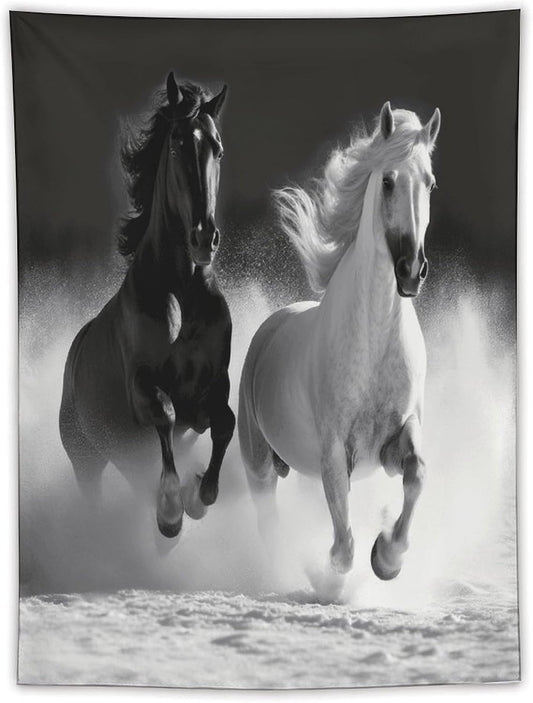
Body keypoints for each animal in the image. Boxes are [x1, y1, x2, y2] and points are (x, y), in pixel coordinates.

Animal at [59, 73, 235, 539]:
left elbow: (224, 423)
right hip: (86, 460)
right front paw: (171, 510)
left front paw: (201, 495)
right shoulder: (141, 390)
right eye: (175, 144)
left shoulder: (213, 388)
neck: (183, 293)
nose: (203, 238)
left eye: (217, 149)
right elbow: (166, 414)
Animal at [238, 102, 441, 581]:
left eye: (430, 183)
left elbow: (418, 473)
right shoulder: (334, 453)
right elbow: (344, 546)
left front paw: (387, 558)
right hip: (259, 466)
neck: (374, 342)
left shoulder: (395, 439)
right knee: (269, 519)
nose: (411, 271)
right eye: (387, 181)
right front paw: (330, 572)